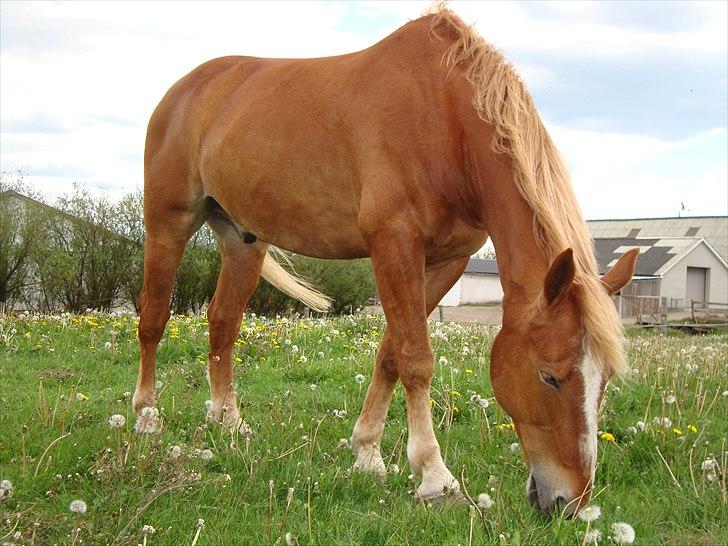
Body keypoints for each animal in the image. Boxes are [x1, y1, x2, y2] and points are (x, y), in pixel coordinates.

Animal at [132, 6, 636, 512]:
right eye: (549, 376)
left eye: (605, 380)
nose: (567, 503)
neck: (445, 117)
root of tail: (184, 90)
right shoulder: (395, 245)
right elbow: (416, 358)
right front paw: (434, 476)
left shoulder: (445, 262)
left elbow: (391, 354)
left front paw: (367, 452)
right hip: (168, 224)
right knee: (153, 317)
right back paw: (146, 416)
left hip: (243, 241)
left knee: (223, 322)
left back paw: (227, 419)